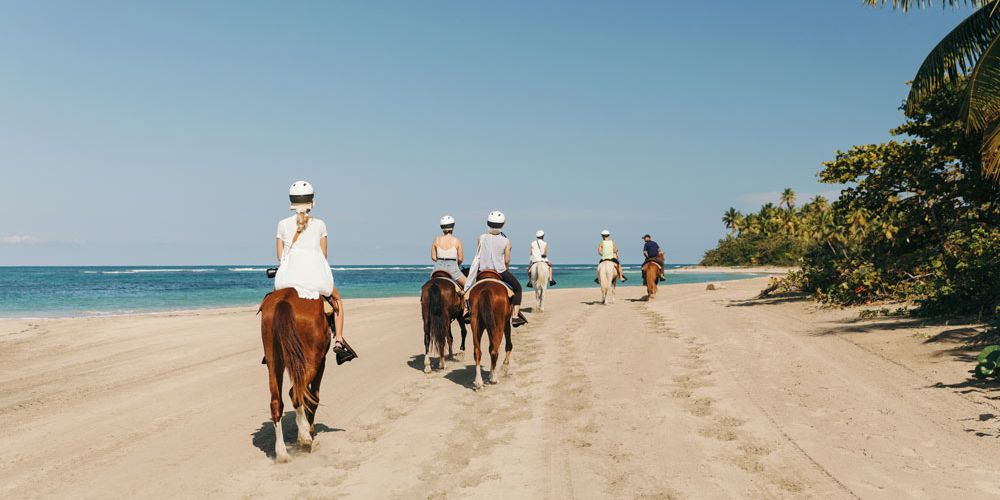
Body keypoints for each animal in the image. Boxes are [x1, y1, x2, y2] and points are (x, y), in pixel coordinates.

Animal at [260, 288, 330, 462]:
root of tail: (285, 300)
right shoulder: (322, 362)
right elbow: (313, 398)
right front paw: (309, 432)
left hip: (274, 360)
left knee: (276, 402)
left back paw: (282, 453)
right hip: (312, 360)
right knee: (296, 392)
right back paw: (305, 439)